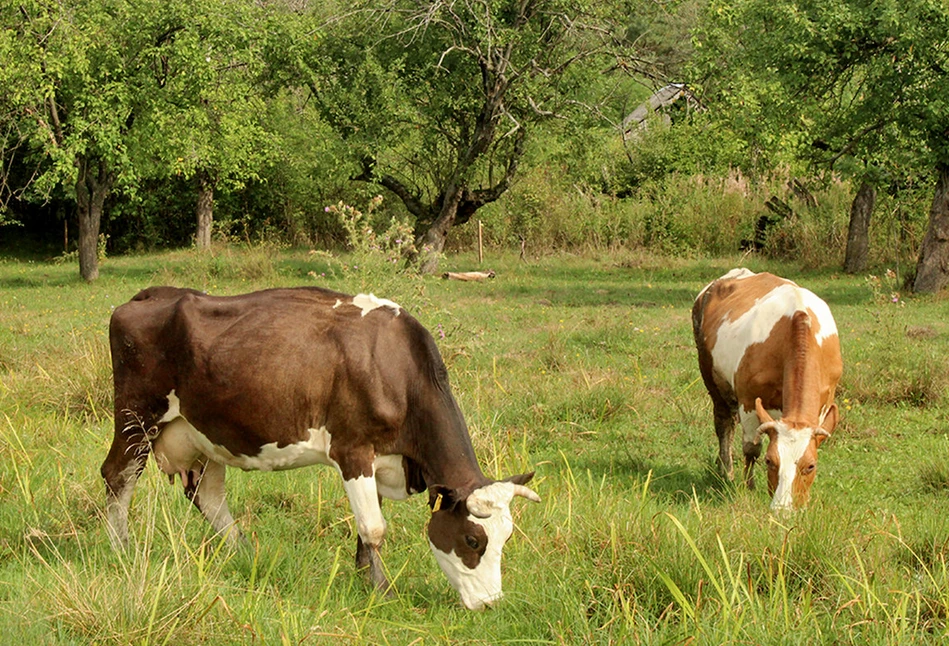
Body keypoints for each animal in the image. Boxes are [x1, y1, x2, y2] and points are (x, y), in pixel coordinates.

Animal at [102, 286, 540, 612]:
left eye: (506, 538)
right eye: (472, 540)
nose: (491, 603)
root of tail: (151, 295)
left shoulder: (379, 458)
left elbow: (368, 525)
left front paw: (363, 575)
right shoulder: (352, 449)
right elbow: (374, 527)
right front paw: (381, 589)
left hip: (205, 434)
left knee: (206, 495)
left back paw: (244, 552)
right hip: (136, 418)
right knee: (117, 477)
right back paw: (121, 548)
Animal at [692, 268, 840, 512]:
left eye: (811, 466)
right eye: (770, 461)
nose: (783, 510)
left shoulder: (824, 403)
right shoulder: (748, 400)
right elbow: (751, 448)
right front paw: (749, 486)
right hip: (712, 378)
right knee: (724, 423)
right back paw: (726, 471)